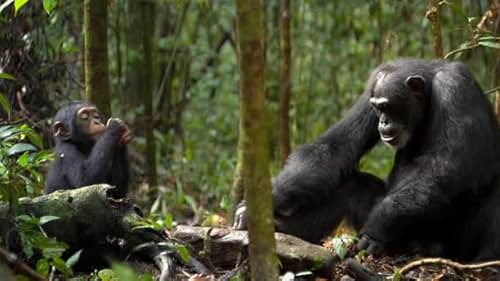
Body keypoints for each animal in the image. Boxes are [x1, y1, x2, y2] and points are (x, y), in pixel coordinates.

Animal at [235, 58, 500, 260]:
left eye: (388, 106)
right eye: (377, 107)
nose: (382, 120)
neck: (429, 97)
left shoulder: (456, 90)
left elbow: (449, 165)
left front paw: (378, 228)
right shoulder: (370, 91)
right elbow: (336, 146)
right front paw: (267, 200)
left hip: (440, 238)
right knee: (352, 185)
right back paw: (281, 228)